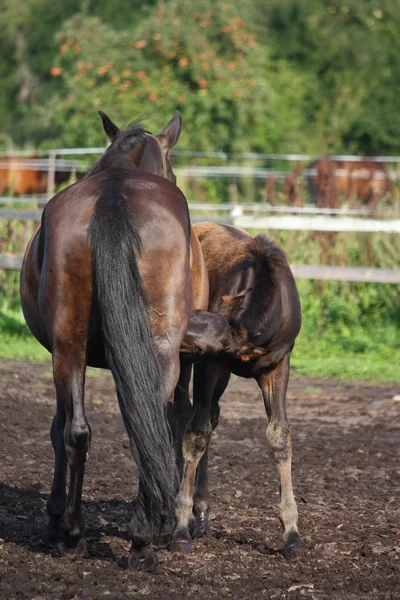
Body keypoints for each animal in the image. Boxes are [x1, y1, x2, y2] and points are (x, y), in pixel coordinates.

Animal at [19, 112, 192, 572]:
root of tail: (113, 196)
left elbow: (59, 427)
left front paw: (53, 521)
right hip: (154, 352)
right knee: (143, 427)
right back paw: (139, 539)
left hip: (70, 347)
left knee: (79, 431)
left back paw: (76, 535)